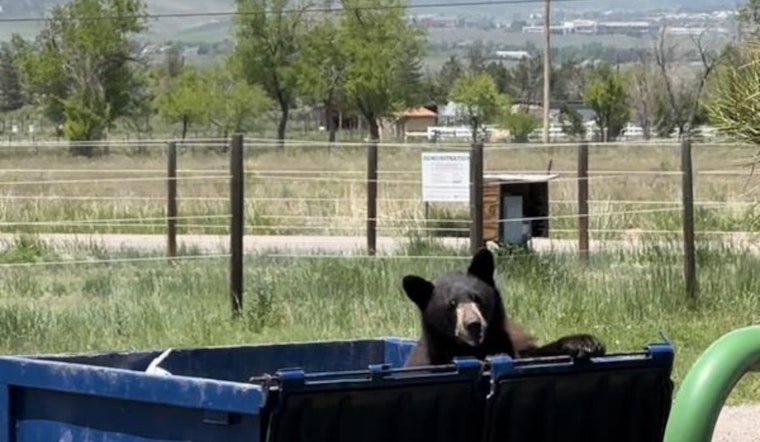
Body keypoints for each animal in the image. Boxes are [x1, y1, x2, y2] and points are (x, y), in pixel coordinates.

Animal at [401, 246, 606, 367]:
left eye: (477, 298)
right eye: (451, 305)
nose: (473, 325)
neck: (477, 350)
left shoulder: (507, 344)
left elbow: (530, 355)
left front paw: (585, 343)